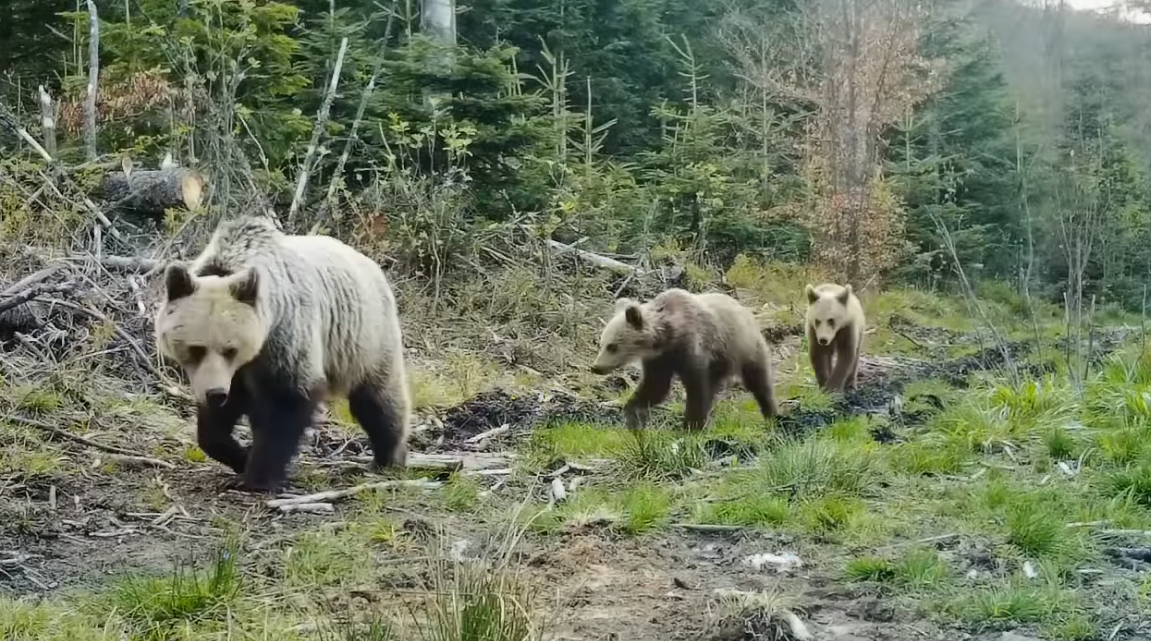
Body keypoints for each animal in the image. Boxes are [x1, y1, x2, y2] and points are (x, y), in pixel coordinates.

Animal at [154, 216, 410, 493]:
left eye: (230, 349)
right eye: (196, 349)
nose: (215, 394)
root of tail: (372, 265)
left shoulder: (285, 334)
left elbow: (286, 401)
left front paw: (256, 477)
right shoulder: (235, 371)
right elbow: (217, 424)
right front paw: (239, 456)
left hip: (363, 336)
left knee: (378, 399)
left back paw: (388, 457)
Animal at [590, 288, 779, 431]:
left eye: (612, 346)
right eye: (601, 343)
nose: (596, 367)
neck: (668, 338)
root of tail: (744, 309)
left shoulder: (693, 348)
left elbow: (696, 387)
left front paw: (692, 425)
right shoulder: (659, 360)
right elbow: (655, 387)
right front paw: (633, 415)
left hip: (743, 346)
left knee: (758, 380)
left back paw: (771, 413)